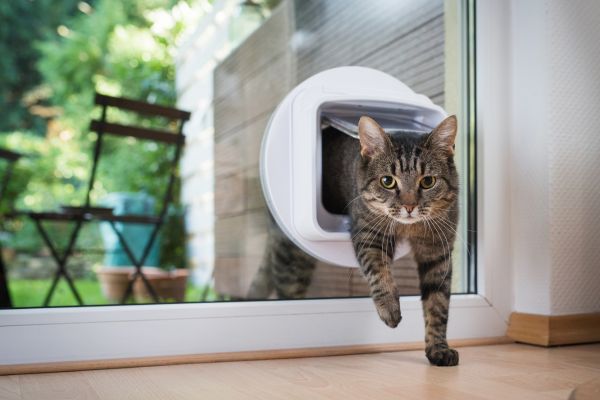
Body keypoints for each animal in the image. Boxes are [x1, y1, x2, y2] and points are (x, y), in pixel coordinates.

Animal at [248, 115, 460, 366]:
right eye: (387, 181)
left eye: (428, 181)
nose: (409, 207)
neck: (408, 228)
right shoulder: (368, 234)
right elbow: (379, 272)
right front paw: (389, 308)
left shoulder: (438, 252)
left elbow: (438, 304)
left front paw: (438, 348)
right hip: (291, 258)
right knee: (287, 290)